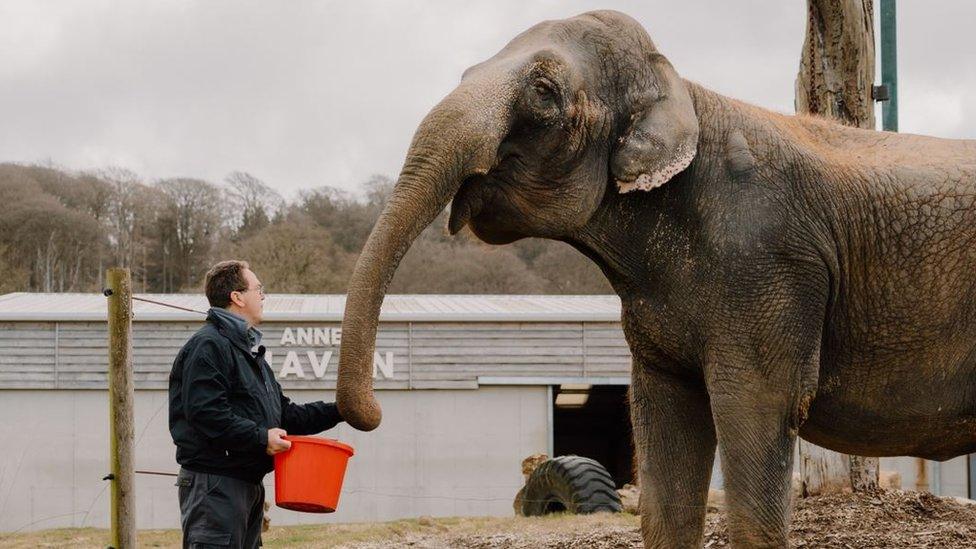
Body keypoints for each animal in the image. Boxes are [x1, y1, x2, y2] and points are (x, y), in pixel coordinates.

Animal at [334, 9, 976, 548]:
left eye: (543, 92)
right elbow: (665, 425)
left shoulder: (770, 266)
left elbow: (758, 408)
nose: (372, 415)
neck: (682, 88)